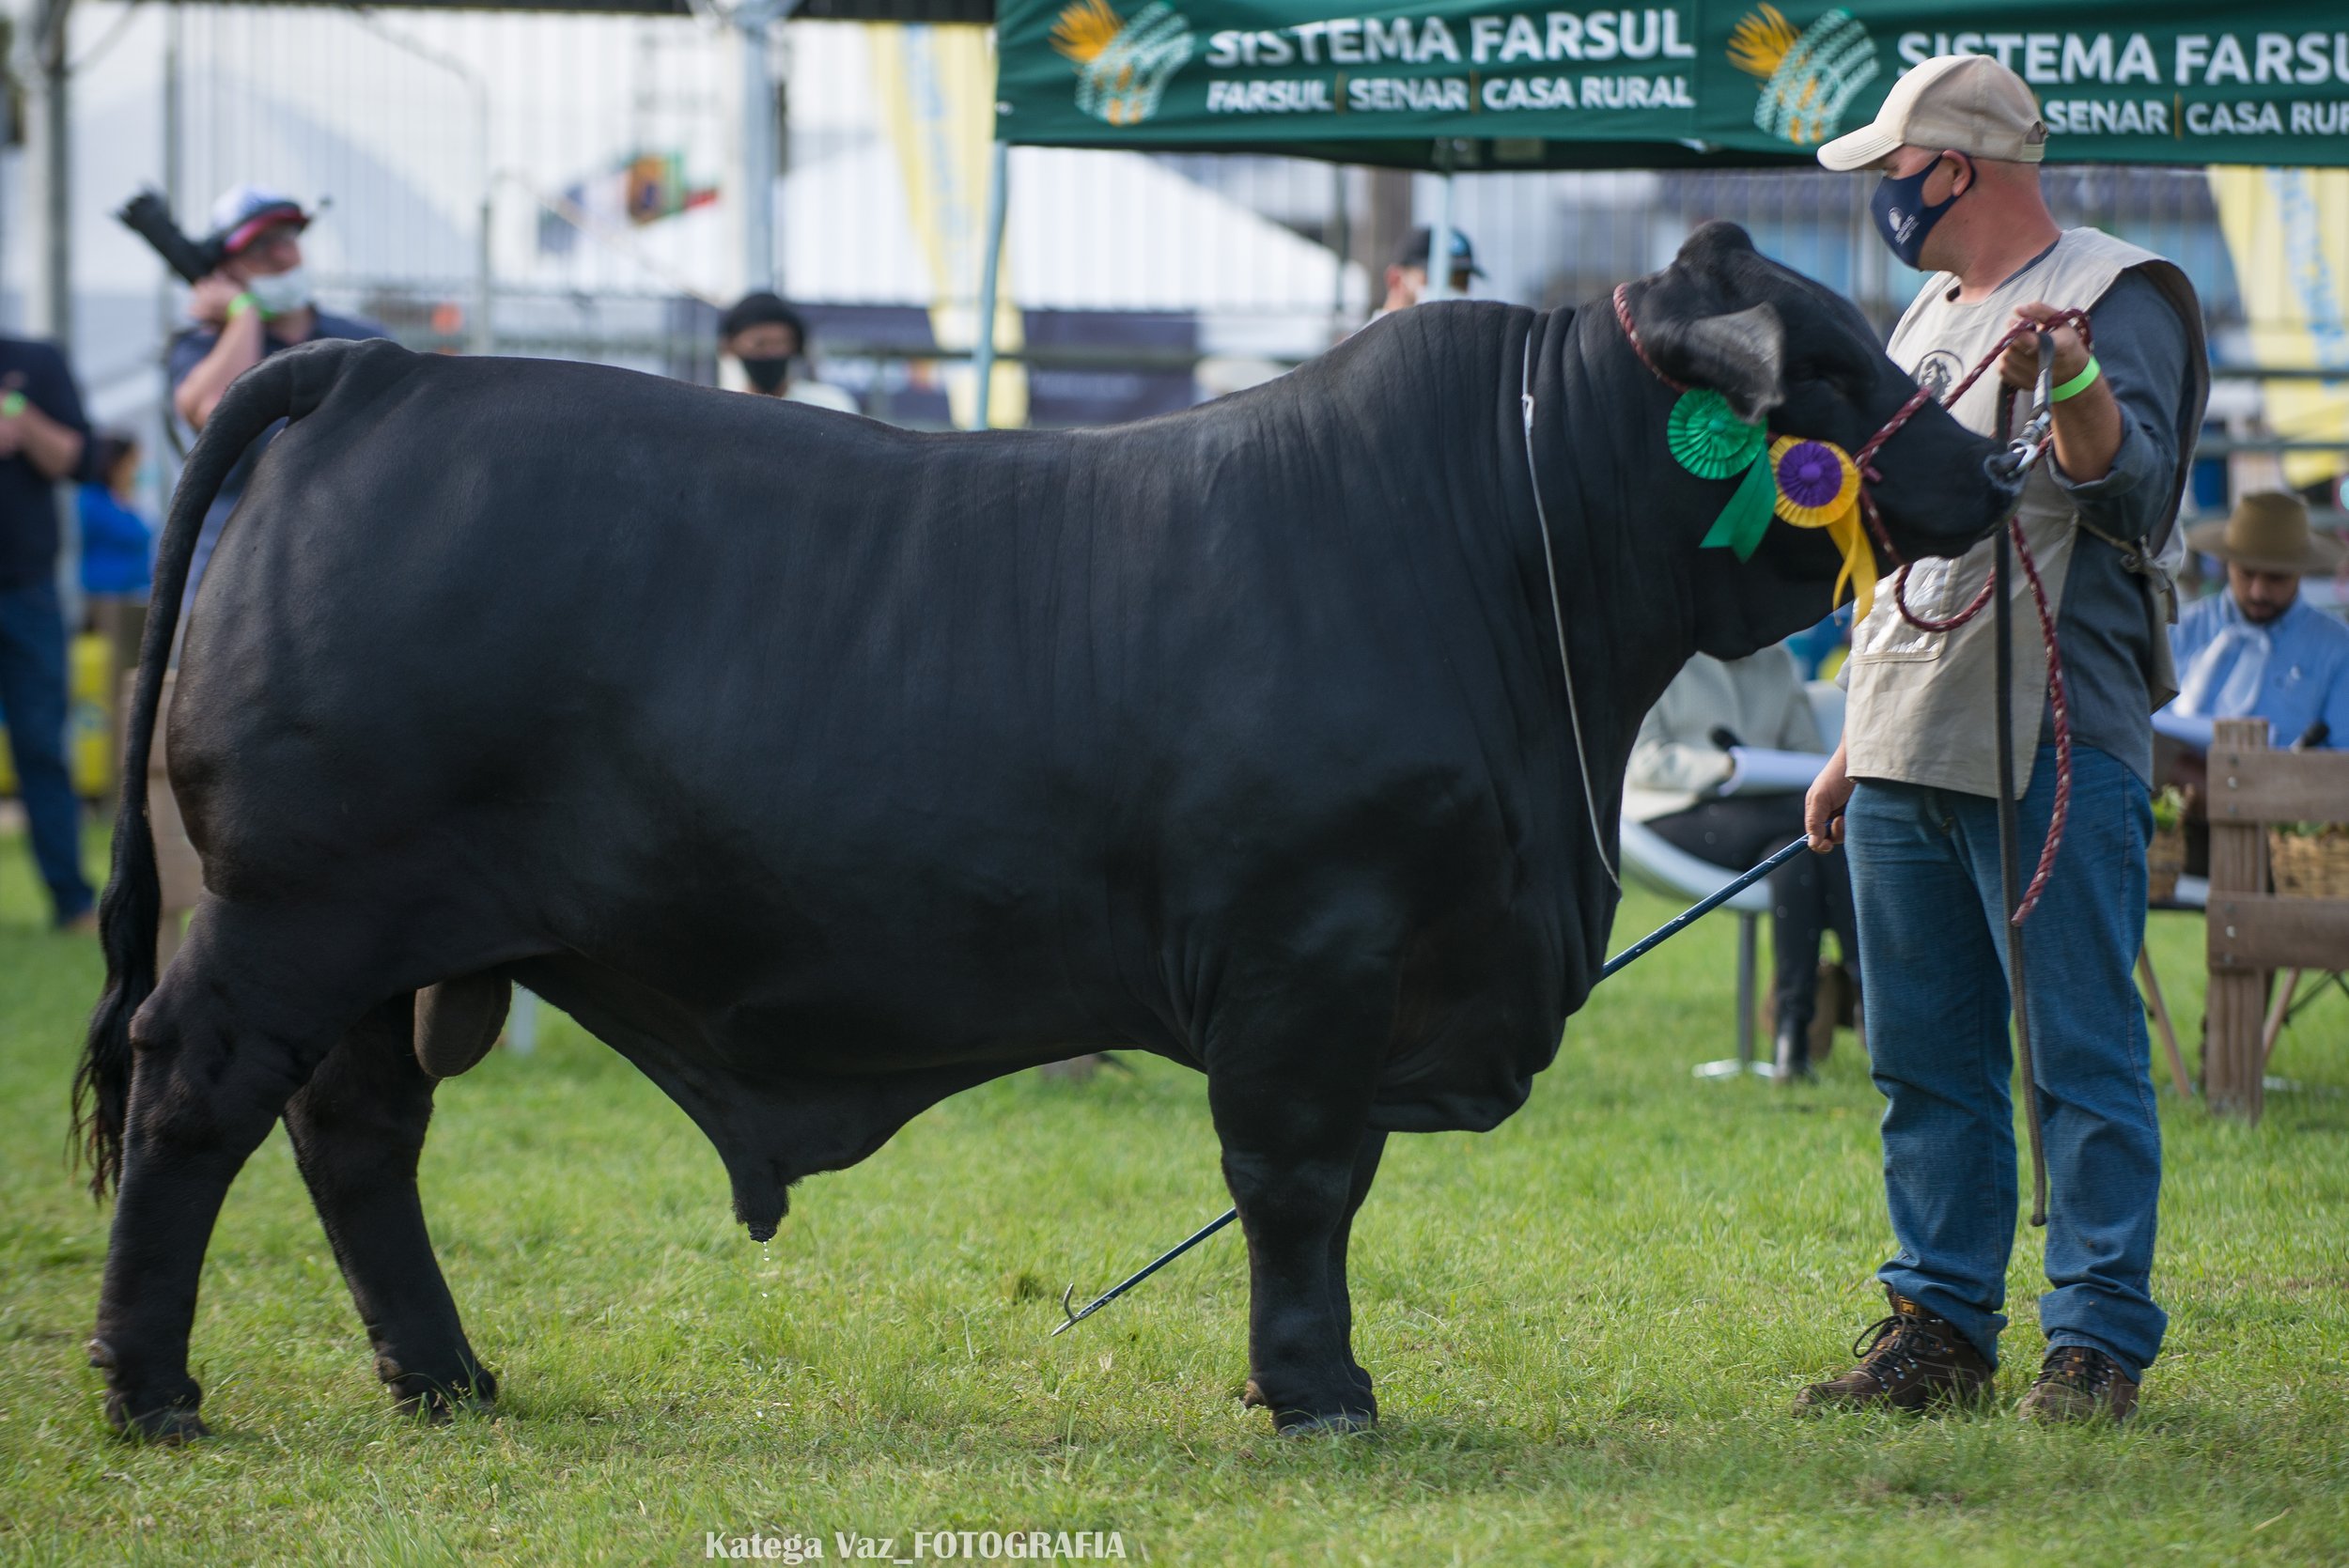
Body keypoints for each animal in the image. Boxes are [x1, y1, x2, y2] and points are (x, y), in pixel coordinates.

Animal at [78, 217, 2020, 1436]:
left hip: (376, 949)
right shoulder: (1313, 952)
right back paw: (152, 1386)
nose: (1998, 471)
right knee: (200, 1100)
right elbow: (1297, 1178)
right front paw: (1319, 1390)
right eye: (1829, 367)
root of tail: (376, 371)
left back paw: (443, 1374)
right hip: (288, 913)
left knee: (356, 1132)